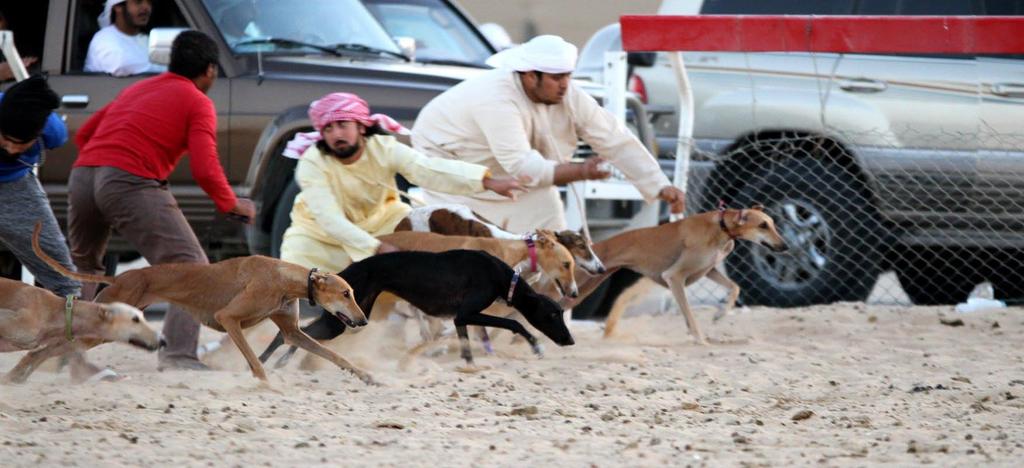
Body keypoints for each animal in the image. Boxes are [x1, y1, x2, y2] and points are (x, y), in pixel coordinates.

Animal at [32, 222, 376, 383]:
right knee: (53, 345)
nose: (363, 321)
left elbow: (334, 355)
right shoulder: (229, 318)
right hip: (103, 327)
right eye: (346, 293)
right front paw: (266, 384)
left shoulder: (292, 333)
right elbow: (255, 361)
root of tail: (119, 278)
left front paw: (365, 375)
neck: (284, 277)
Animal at [258, 249, 577, 366]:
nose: (570, 340)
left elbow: (465, 342)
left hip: (353, 315)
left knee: (299, 334)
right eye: (553, 314)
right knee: (292, 334)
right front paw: (536, 345)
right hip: (344, 319)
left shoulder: (459, 319)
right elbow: (514, 322)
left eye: (561, 313)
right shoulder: (468, 312)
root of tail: (346, 271)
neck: (501, 276)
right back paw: (267, 361)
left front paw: (469, 365)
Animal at [565, 204, 786, 342]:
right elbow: (689, 314)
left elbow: (735, 287)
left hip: (583, 288)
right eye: (763, 225)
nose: (785, 246)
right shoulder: (674, 276)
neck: (721, 227)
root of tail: (595, 247)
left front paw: (720, 312)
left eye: (772, 223)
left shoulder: (709, 270)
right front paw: (701, 339)